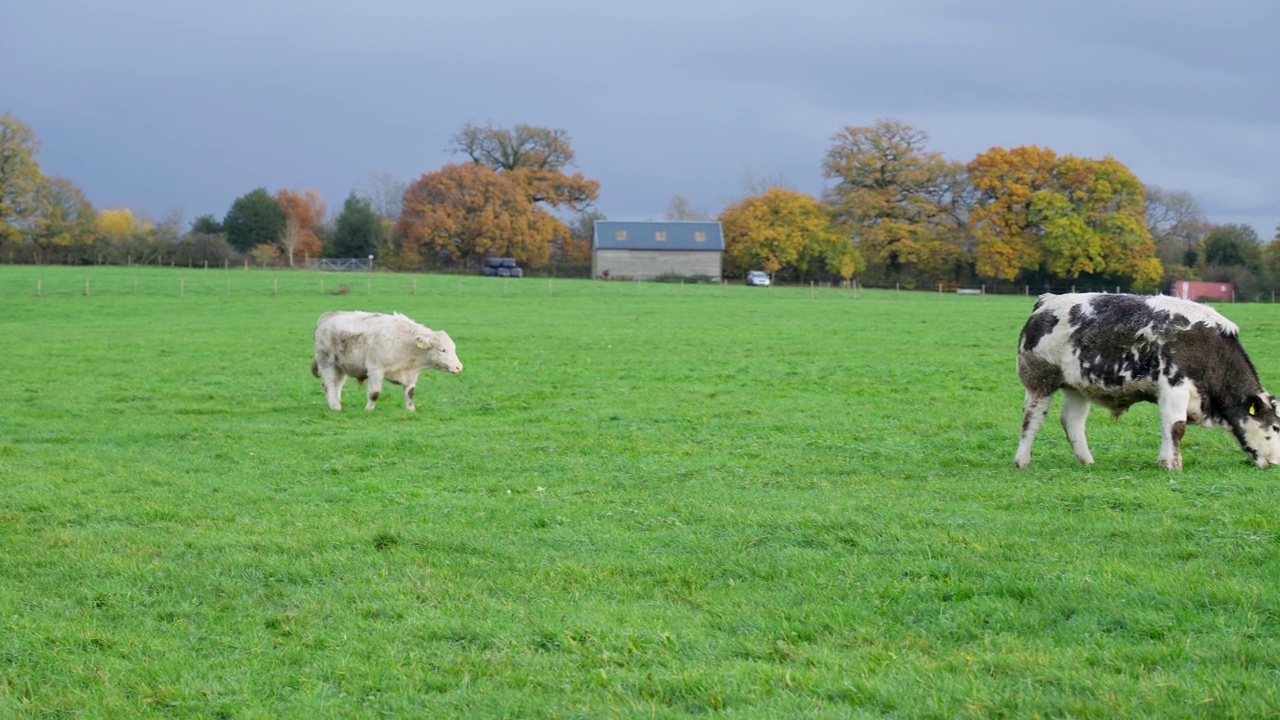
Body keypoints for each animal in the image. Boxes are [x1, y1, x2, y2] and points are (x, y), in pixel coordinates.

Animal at [312, 308, 463, 409]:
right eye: (442, 350)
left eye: (454, 348)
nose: (459, 367)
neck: (404, 343)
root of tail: (327, 316)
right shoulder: (375, 369)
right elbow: (374, 393)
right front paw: (368, 410)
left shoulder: (411, 375)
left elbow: (410, 394)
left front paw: (411, 410)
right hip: (327, 363)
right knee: (330, 385)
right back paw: (335, 408)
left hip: (340, 368)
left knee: (337, 386)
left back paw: (336, 405)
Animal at [1008, 293, 1280, 471]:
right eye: (1275, 427)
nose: (1275, 463)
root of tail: (1047, 301)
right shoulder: (1175, 386)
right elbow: (1176, 426)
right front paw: (1174, 465)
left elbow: (1167, 426)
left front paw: (1163, 462)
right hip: (1040, 381)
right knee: (1032, 419)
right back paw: (1022, 460)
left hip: (1077, 387)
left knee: (1072, 421)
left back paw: (1087, 461)